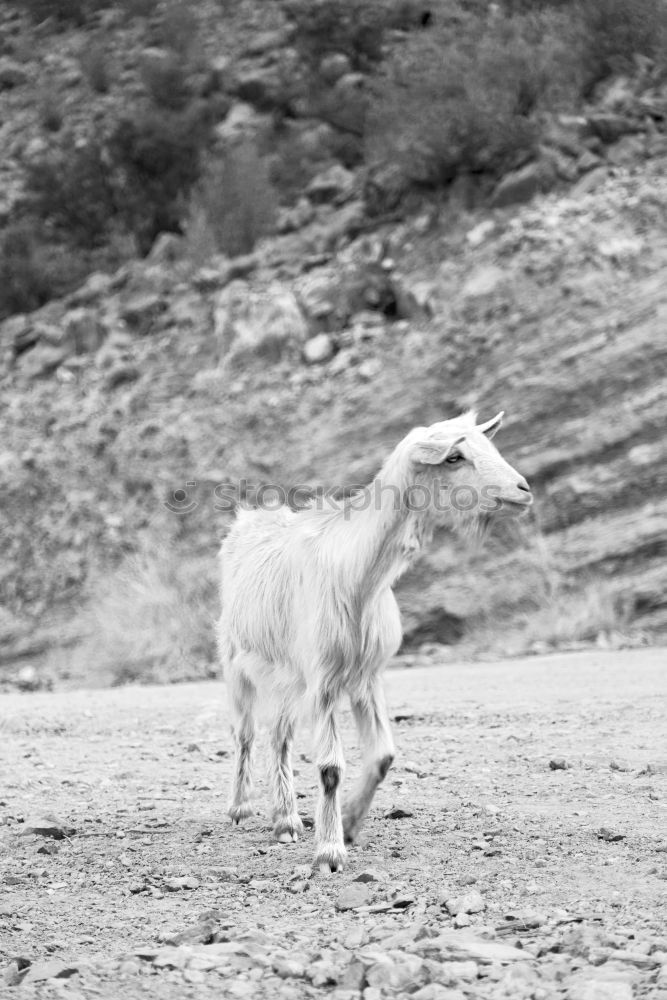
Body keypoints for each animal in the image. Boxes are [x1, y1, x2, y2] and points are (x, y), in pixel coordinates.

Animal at [219, 410, 532, 872]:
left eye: (489, 445)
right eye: (455, 457)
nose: (522, 490)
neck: (359, 576)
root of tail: (248, 518)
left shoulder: (366, 675)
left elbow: (383, 755)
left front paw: (349, 823)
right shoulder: (324, 678)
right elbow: (330, 767)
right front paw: (330, 852)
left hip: (288, 676)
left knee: (279, 736)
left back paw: (286, 820)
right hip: (236, 661)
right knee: (244, 734)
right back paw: (241, 808)